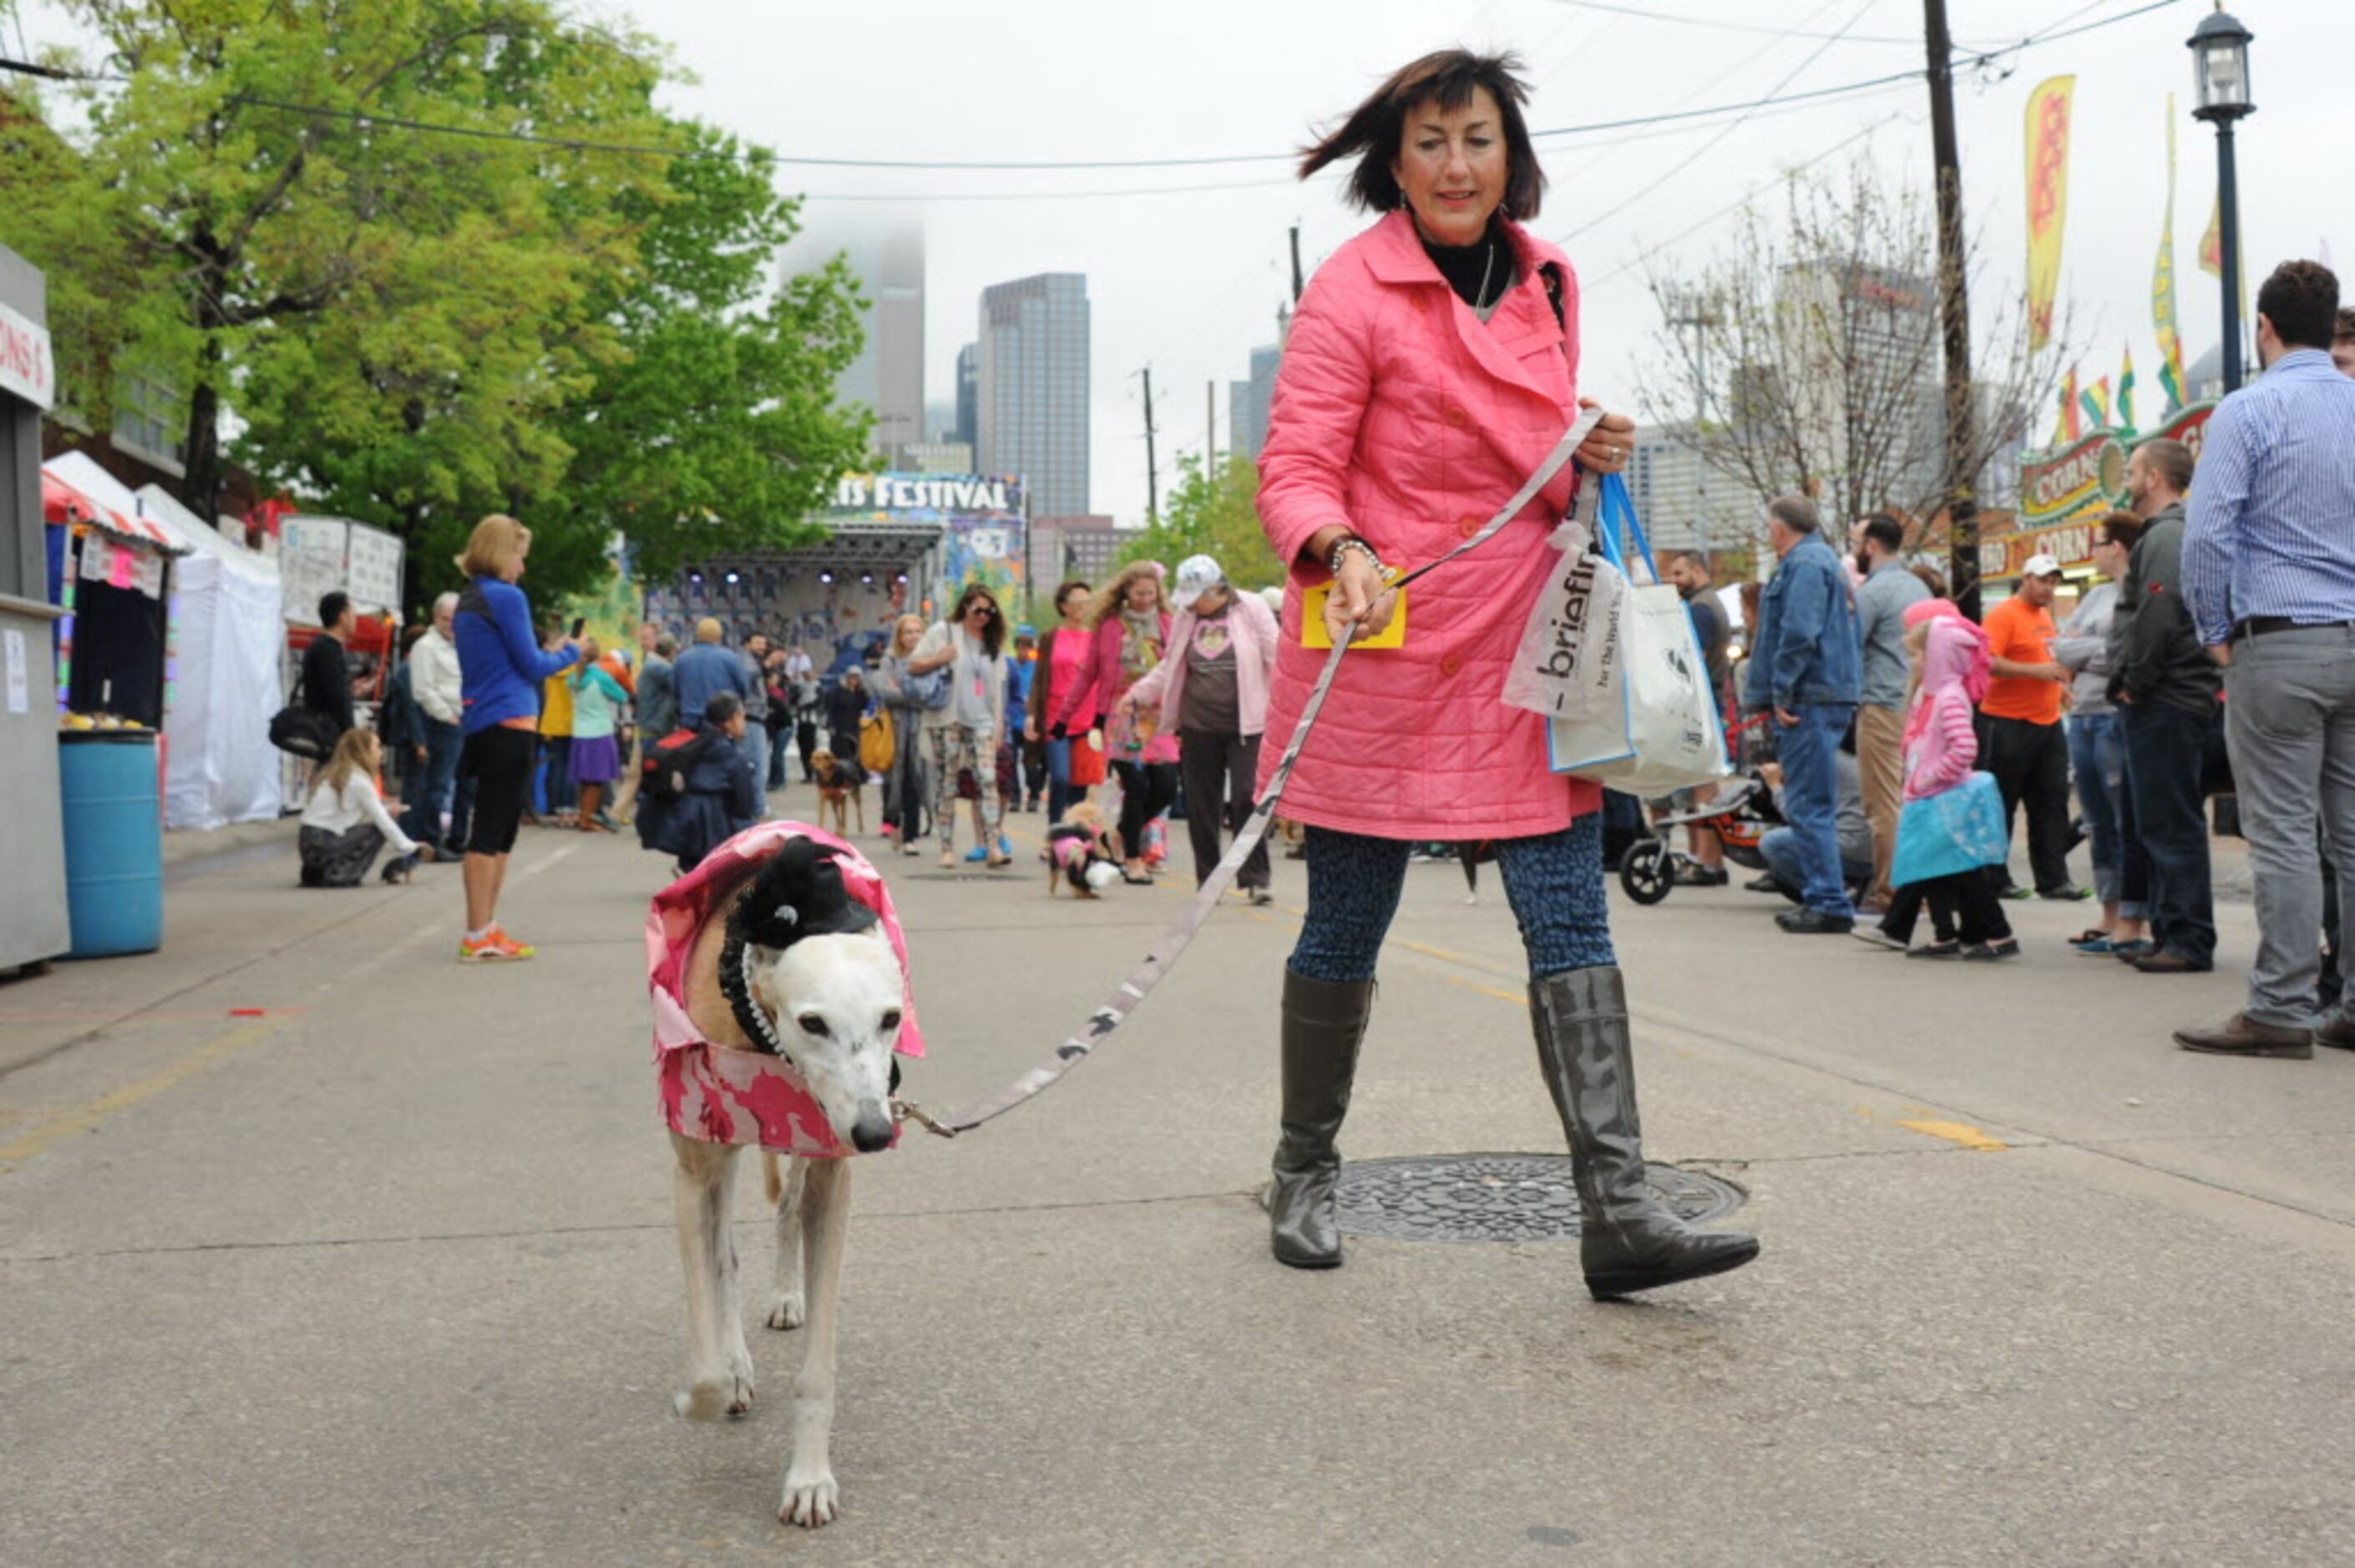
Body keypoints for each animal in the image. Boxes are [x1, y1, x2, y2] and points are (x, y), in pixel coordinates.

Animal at [664, 828, 928, 1525]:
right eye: (814, 1023)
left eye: (891, 1018)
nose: (876, 1133)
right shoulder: (692, 1166)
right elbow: (705, 1353)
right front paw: (710, 1387)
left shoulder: (834, 1171)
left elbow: (817, 1370)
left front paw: (809, 1479)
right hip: (726, 1148)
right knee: (726, 1252)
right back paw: (735, 1363)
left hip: (809, 1141)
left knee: (788, 1209)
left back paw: (786, 1294)